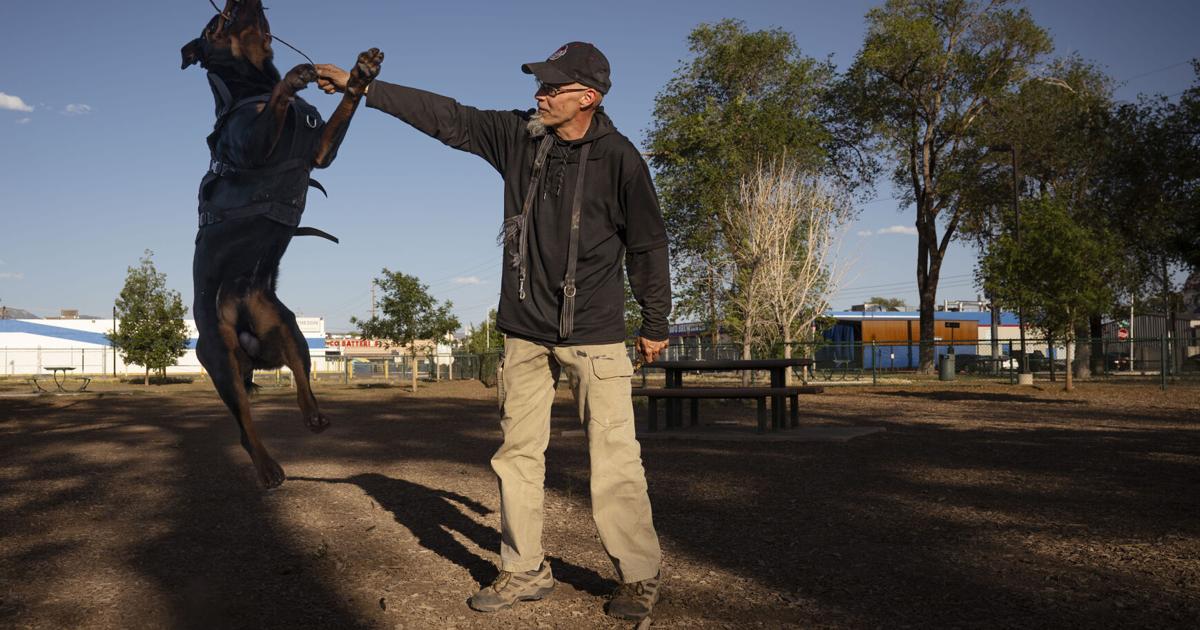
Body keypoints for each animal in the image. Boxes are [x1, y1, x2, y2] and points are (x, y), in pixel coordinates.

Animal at [180, 0, 384, 489]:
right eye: (216, 24)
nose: (237, 3)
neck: (251, 84)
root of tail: (243, 319)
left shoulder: (321, 152)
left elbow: (343, 108)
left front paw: (360, 73)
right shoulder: (254, 145)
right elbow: (276, 101)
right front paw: (291, 80)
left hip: (289, 331)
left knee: (301, 386)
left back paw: (314, 418)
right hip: (221, 358)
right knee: (244, 424)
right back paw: (268, 467)